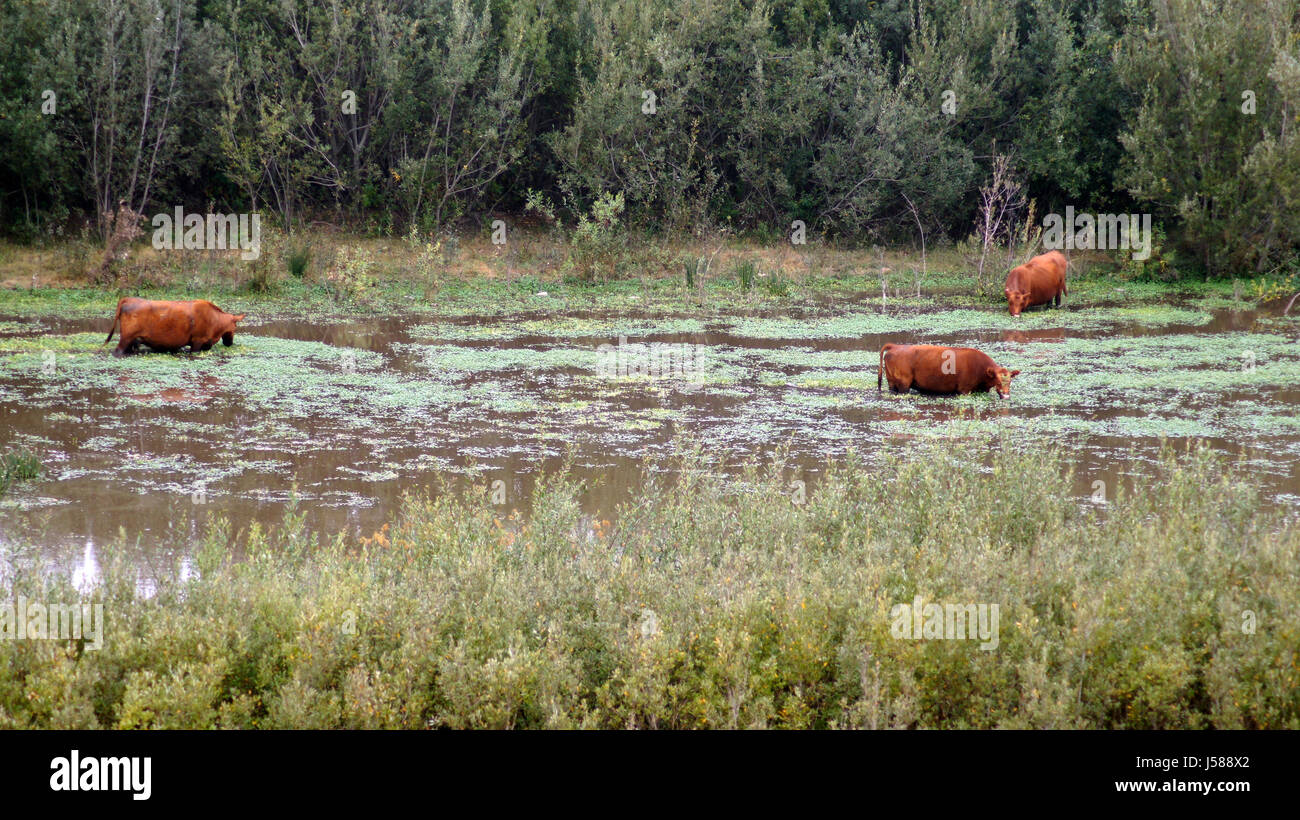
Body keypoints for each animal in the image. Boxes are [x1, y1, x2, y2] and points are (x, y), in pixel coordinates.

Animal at [104, 296, 245, 358]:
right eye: (235, 326)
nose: (229, 343)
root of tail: (128, 299)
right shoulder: (197, 341)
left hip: (132, 340)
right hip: (126, 338)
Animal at [878, 345, 1019, 400]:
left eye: (1010, 381)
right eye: (998, 381)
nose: (1006, 395)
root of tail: (895, 346)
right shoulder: (964, 389)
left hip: (892, 383)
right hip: (903, 385)